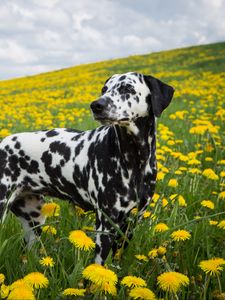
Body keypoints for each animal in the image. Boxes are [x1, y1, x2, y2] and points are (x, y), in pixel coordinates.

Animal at [0, 72, 174, 264]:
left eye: (127, 88)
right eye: (104, 89)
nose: (97, 105)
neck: (134, 159)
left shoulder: (131, 224)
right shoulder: (106, 225)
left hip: (34, 221)